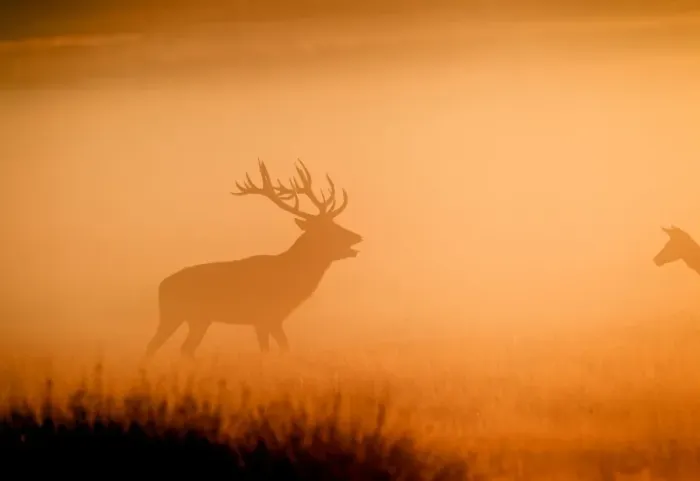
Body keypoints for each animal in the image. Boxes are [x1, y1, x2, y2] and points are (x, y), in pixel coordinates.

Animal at [144, 158, 363, 359]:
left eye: (335, 223)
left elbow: (280, 348)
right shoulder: (265, 317)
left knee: (184, 348)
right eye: (327, 229)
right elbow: (275, 349)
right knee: (154, 346)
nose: (357, 236)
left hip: (198, 319)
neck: (290, 279)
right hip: (173, 314)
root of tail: (161, 286)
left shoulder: (272, 319)